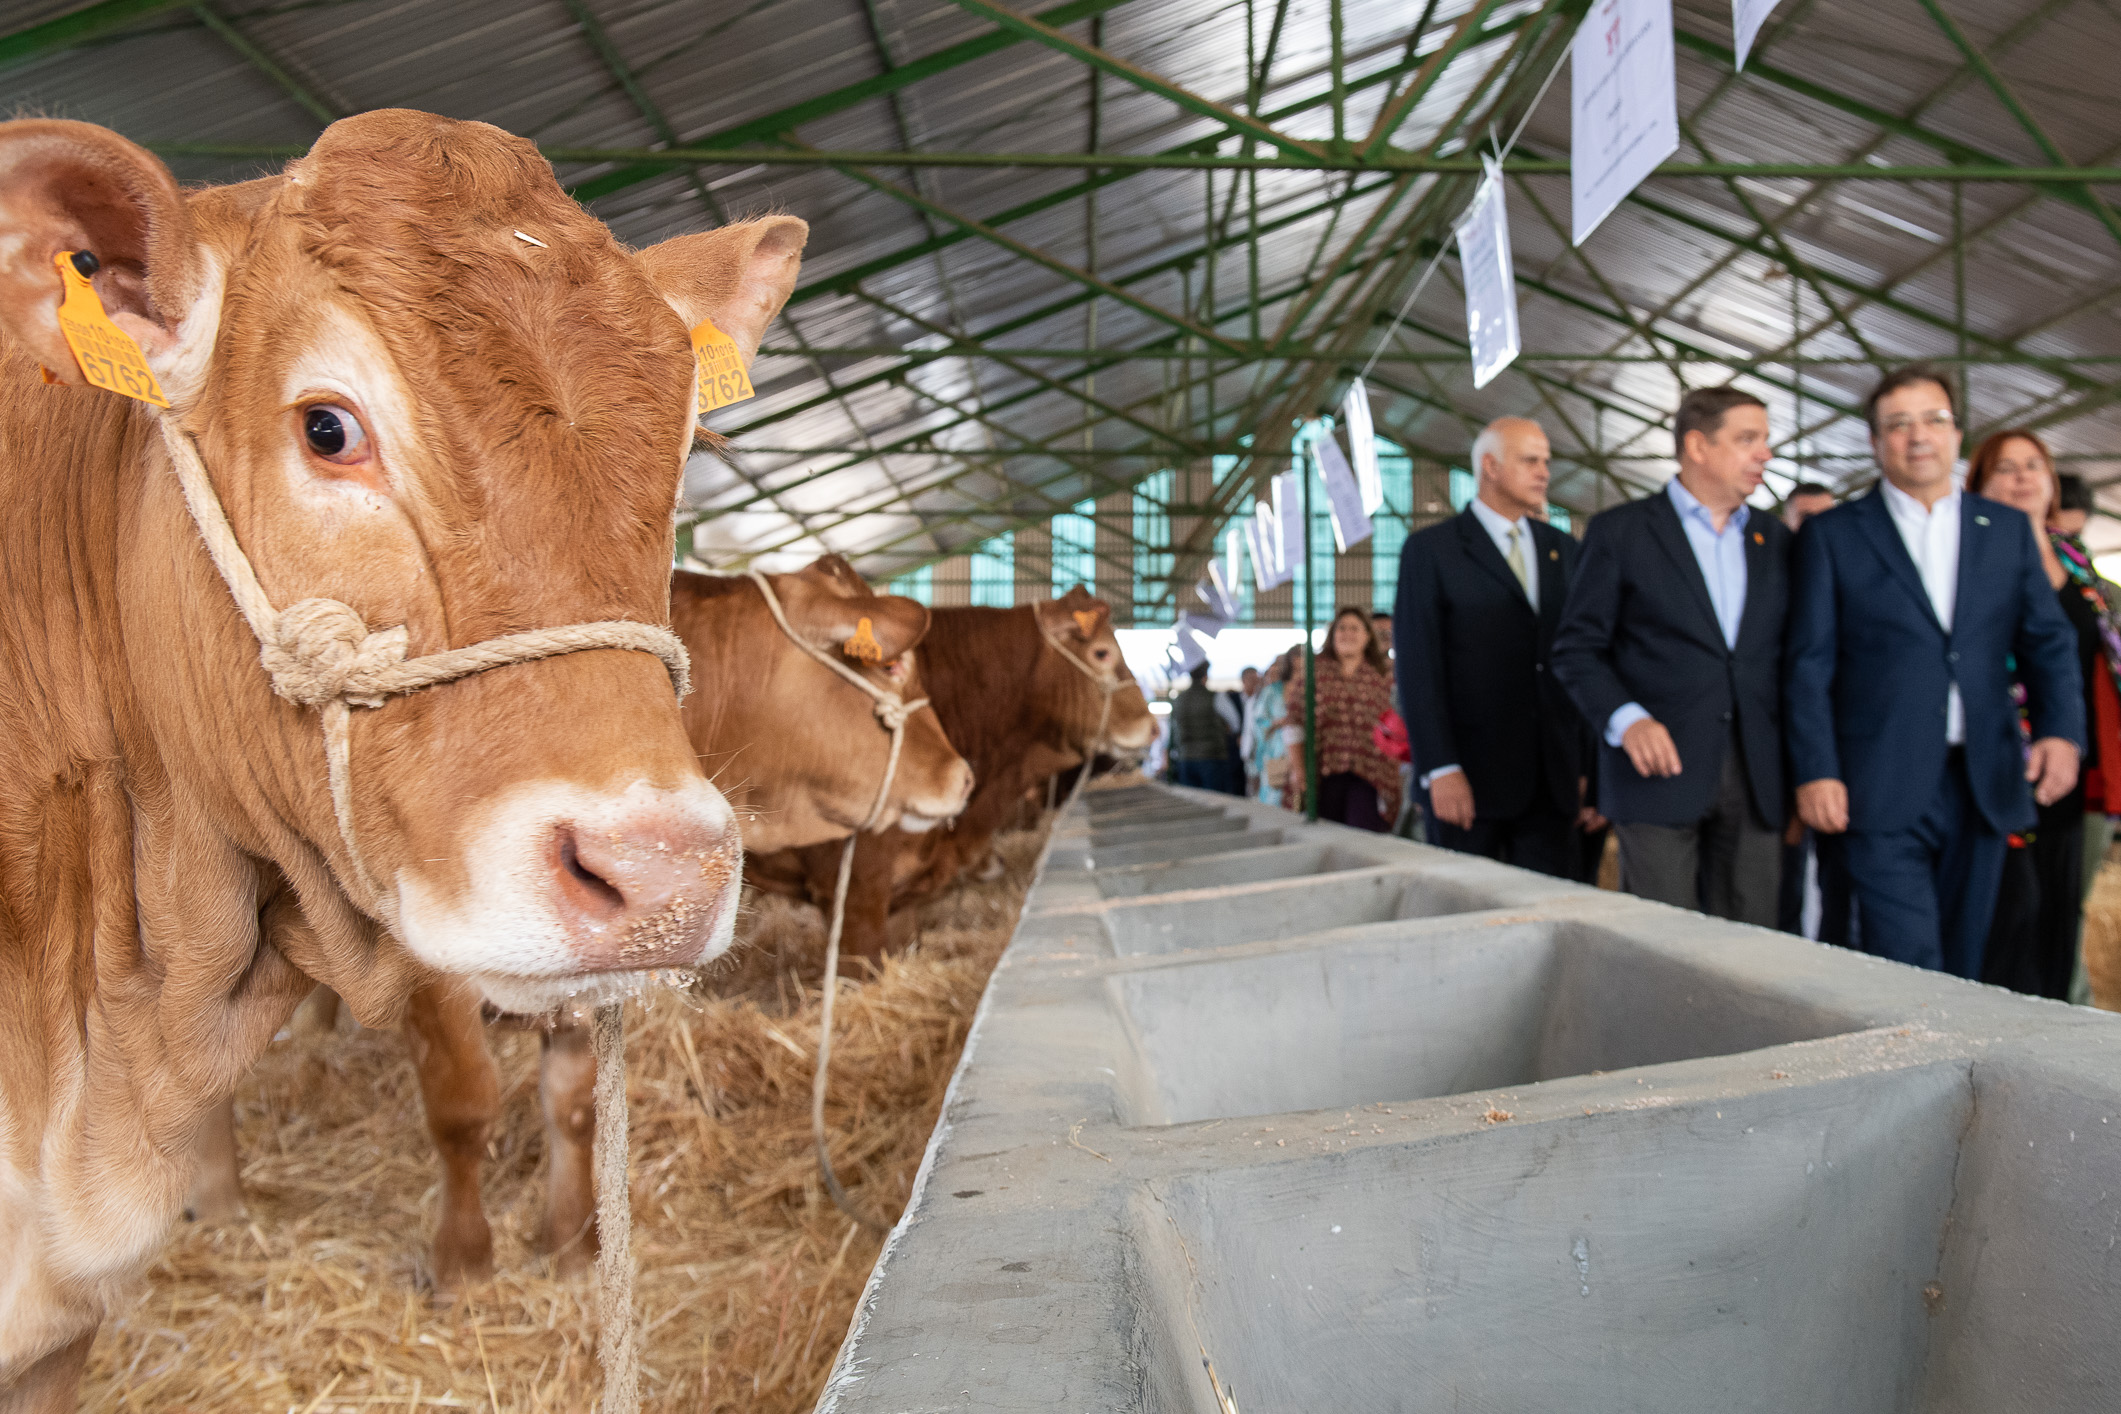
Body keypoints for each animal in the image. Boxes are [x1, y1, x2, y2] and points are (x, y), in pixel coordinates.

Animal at [195, 559, 971, 1280]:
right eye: (892, 663)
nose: (961, 777)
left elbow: (571, 1104)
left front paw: (569, 1246)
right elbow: (462, 1104)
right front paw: (463, 1264)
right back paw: (221, 1200)